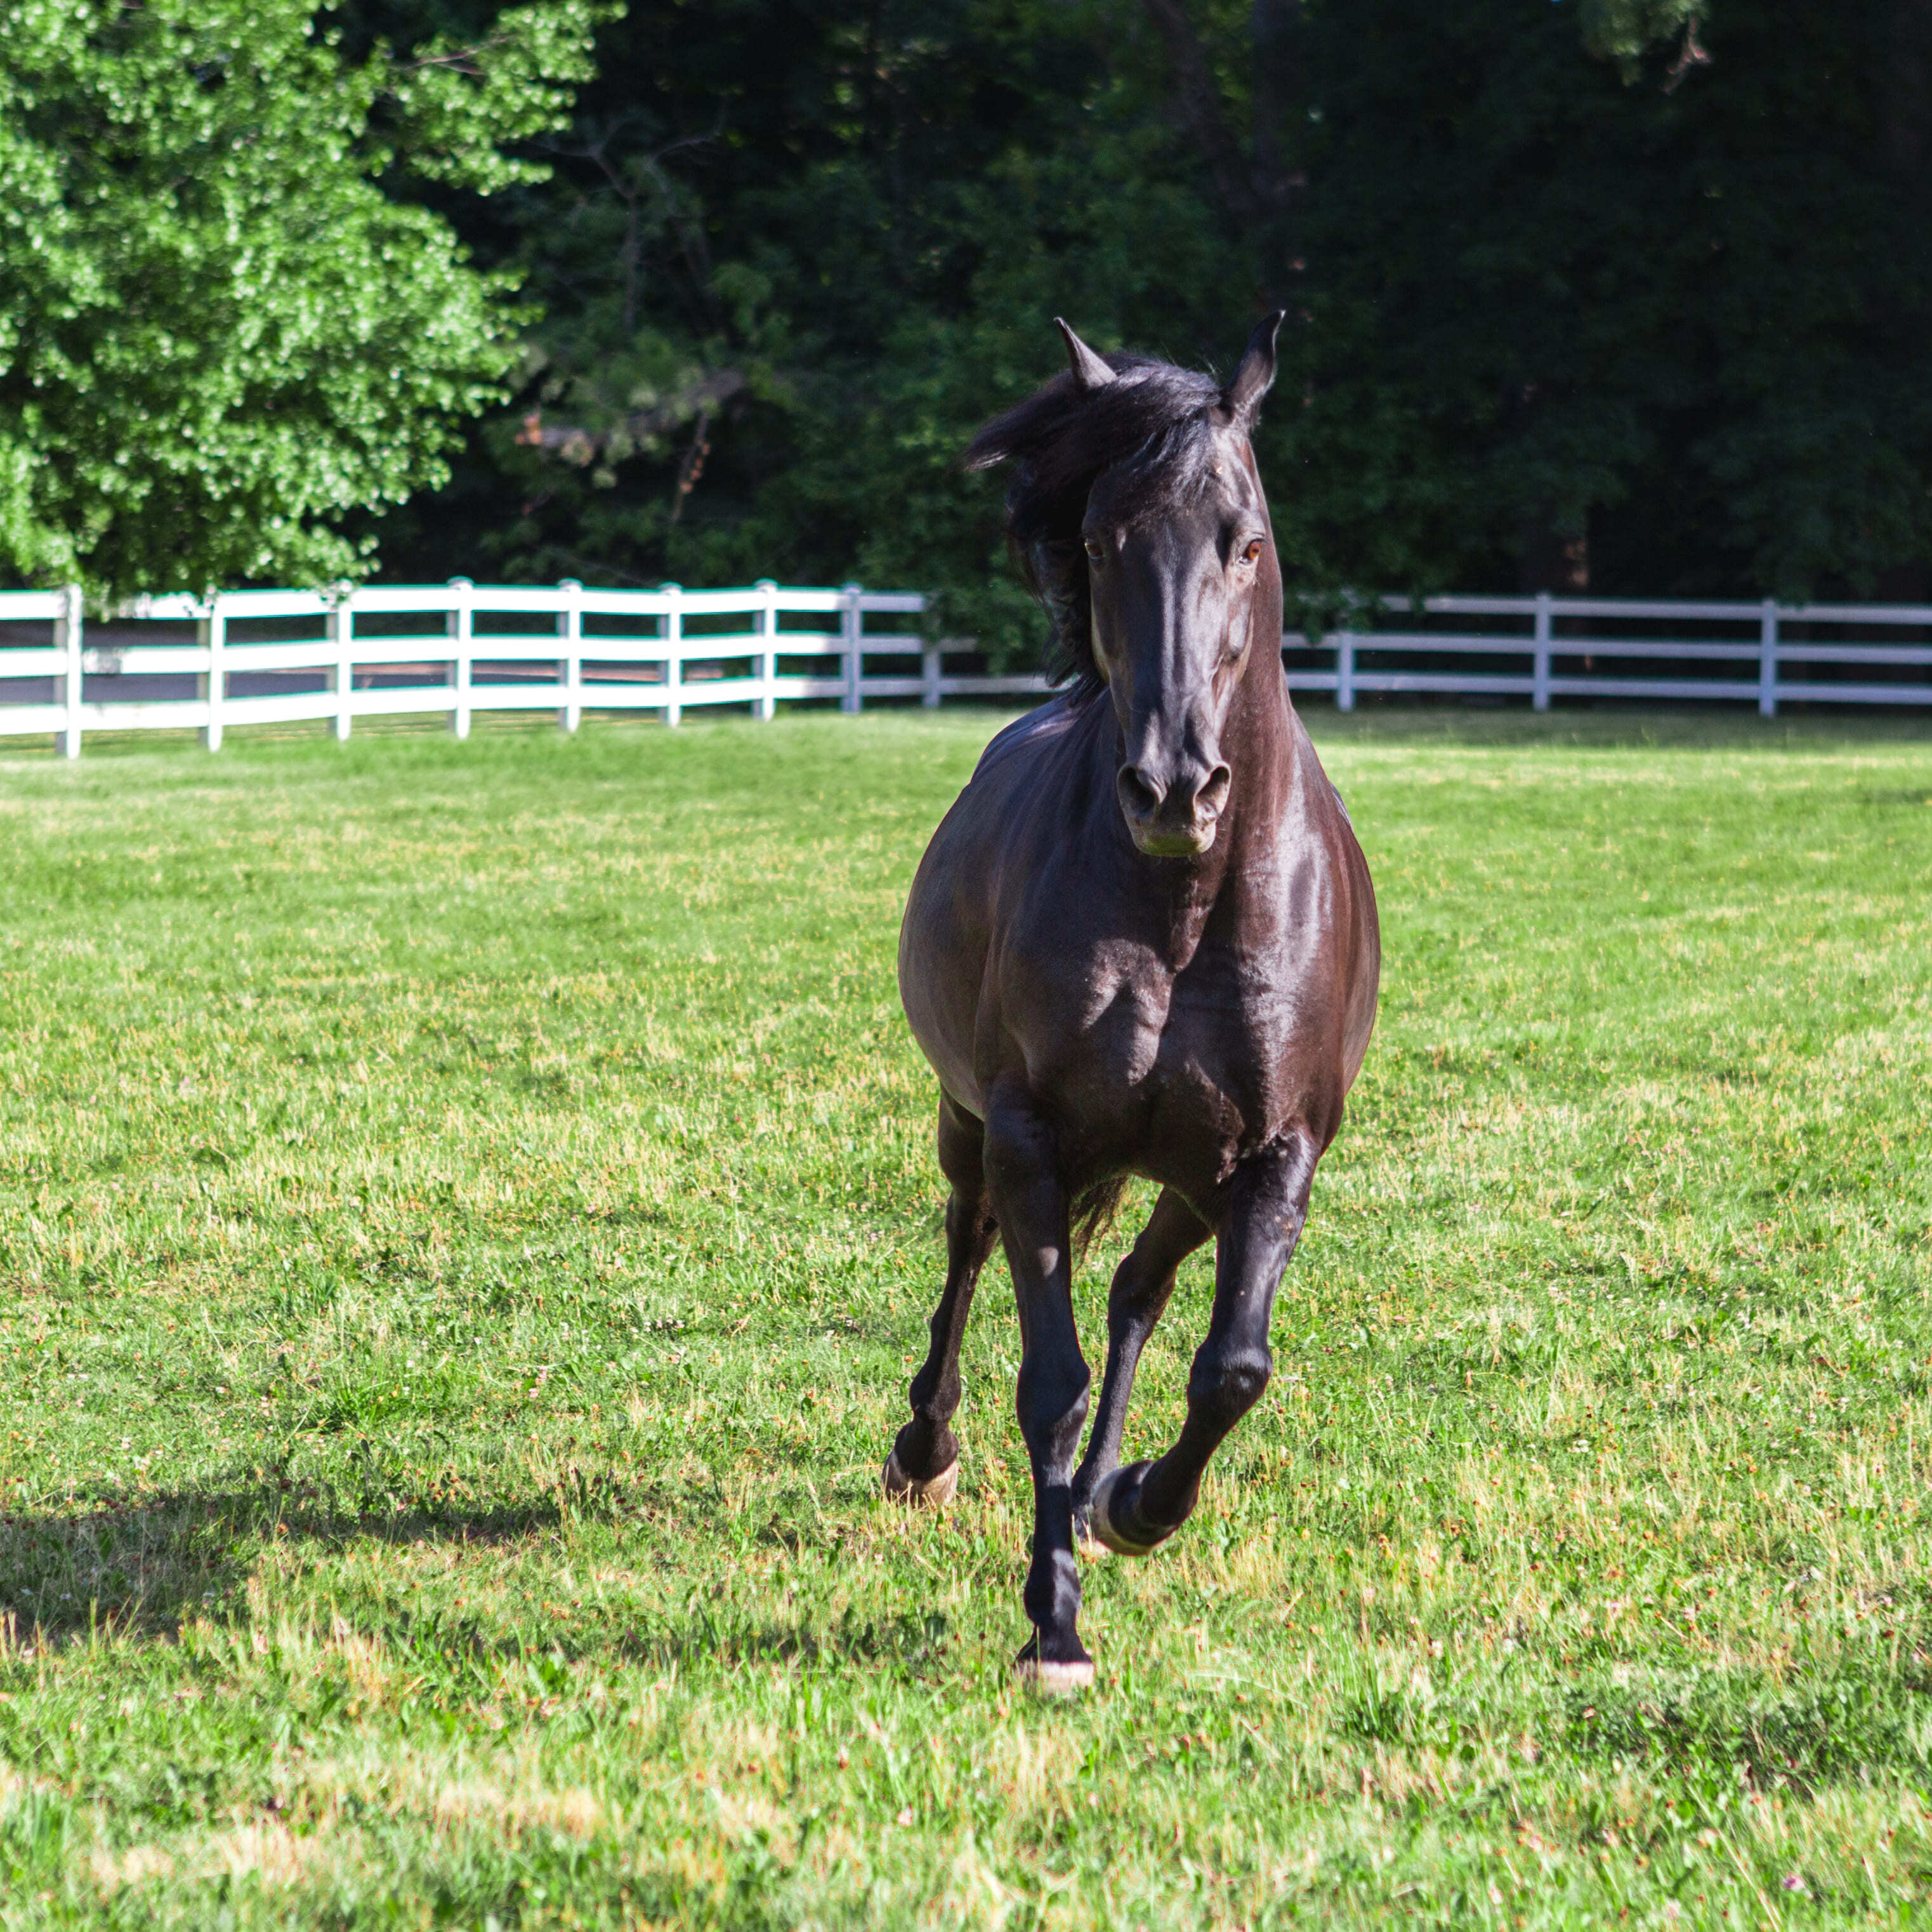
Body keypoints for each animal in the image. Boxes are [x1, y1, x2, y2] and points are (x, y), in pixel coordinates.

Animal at [883, 313, 1380, 1690]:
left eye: (1245, 540)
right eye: (1103, 541)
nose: (1174, 787)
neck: (1185, 908)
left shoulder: (1273, 1157)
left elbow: (1231, 1370)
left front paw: (1140, 1503)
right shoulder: (1031, 1139)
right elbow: (1043, 1379)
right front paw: (1052, 1627)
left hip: (1190, 1180)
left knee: (1140, 1300)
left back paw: (1114, 1490)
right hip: (970, 1134)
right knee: (966, 1260)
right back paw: (922, 1452)